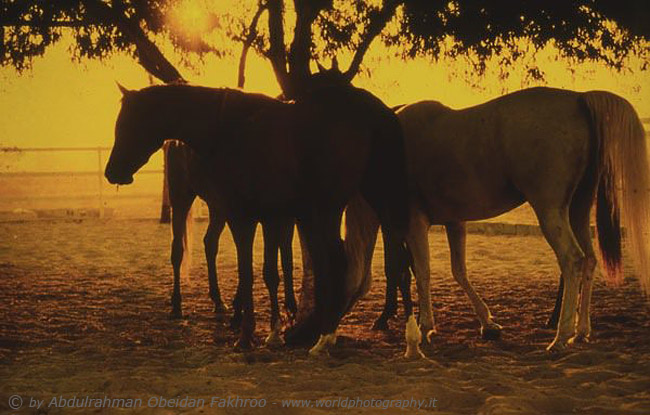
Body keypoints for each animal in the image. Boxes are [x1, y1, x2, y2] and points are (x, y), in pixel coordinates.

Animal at [105, 80, 410, 354]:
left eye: (129, 124)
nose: (112, 171)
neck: (225, 129)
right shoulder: (270, 216)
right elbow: (268, 270)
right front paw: (269, 329)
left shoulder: (244, 216)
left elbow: (249, 271)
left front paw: (246, 334)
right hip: (373, 198)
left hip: (324, 209)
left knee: (337, 261)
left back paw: (324, 336)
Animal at [342, 88, 644, 354]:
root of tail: (578, 99)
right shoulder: (454, 222)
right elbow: (459, 271)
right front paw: (487, 323)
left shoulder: (414, 222)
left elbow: (421, 271)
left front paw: (424, 327)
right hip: (577, 210)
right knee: (590, 260)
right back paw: (580, 332)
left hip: (550, 211)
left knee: (572, 260)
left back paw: (560, 337)